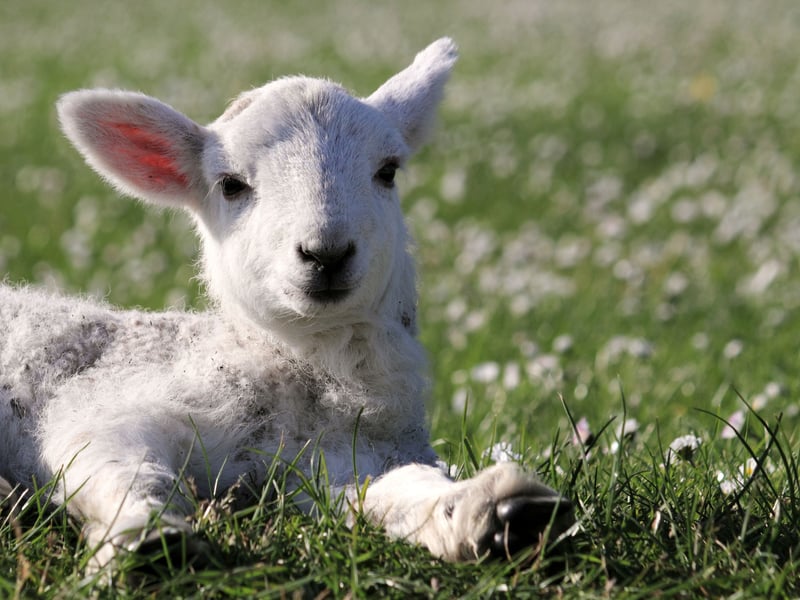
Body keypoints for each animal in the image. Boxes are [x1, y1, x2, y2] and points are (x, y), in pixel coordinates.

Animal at [0, 37, 573, 570]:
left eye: (388, 171)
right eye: (230, 185)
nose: (327, 252)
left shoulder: (346, 455)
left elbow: (396, 490)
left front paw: (496, 512)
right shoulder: (110, 404)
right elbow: (114, 465)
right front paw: (147, 537)